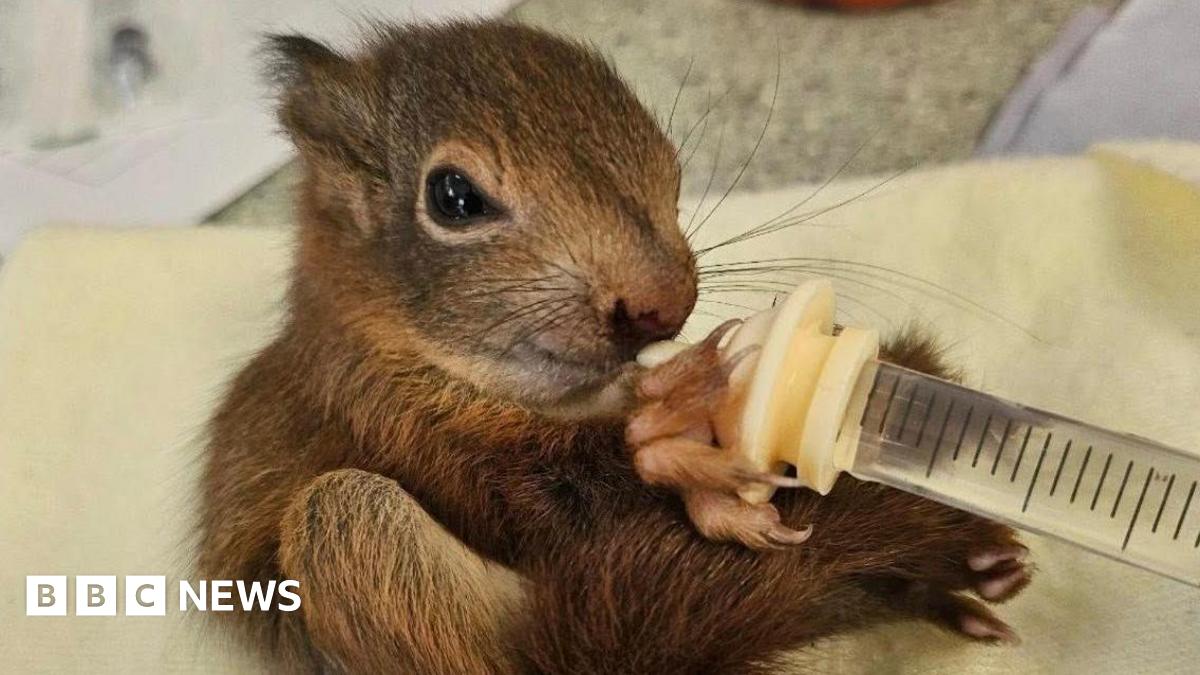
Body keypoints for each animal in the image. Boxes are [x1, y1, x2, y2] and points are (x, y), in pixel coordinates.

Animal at [198, 20, 1031, 674]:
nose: (665, 305)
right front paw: (686, 445)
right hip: (350, 530)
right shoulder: (387, 411)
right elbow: (542, 493)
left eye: (670, 164)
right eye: (453, 197)